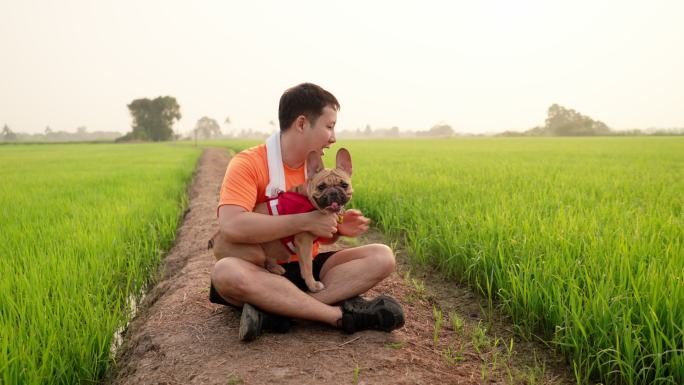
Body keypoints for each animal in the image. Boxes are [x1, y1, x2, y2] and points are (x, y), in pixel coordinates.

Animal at [208, 147, 352, 292]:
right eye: (321, 187)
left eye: (344, 185)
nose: (333, 192)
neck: (308, 198)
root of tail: (216, 236)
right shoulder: (304, 242)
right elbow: (307, 266)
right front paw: (312, 284)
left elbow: (305, 265)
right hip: (254, 252)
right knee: (260, 264)